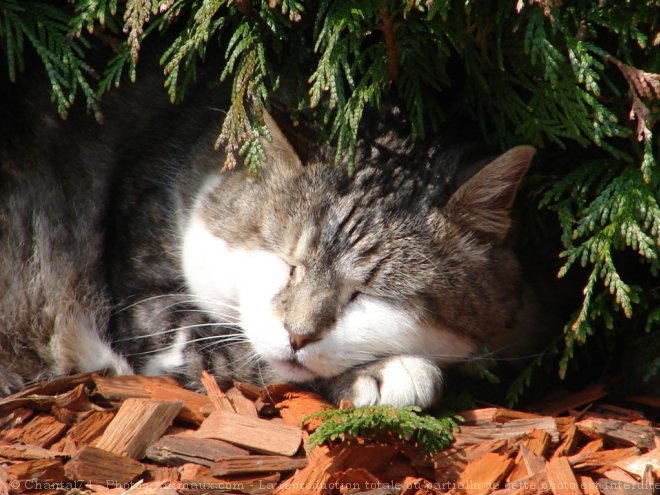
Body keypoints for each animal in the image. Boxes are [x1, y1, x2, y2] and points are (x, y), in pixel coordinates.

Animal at [0, 70, 536, 410]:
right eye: (285, 263)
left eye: (369, 294)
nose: (298, 334)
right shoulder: (147, 303)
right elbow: (243, 356)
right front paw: (385, 372)